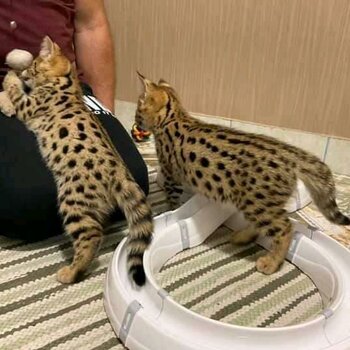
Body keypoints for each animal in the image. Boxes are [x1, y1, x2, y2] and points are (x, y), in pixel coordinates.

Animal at [135, 73, 350, 276]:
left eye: (138, 108)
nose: (136, 122)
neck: (174, 116)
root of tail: (290, 153)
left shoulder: (171, 175)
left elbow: (172, 199)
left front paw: (169, 209)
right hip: (256, 203)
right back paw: (243, 236)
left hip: (257, 202)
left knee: (286, 228)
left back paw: (271, 263)